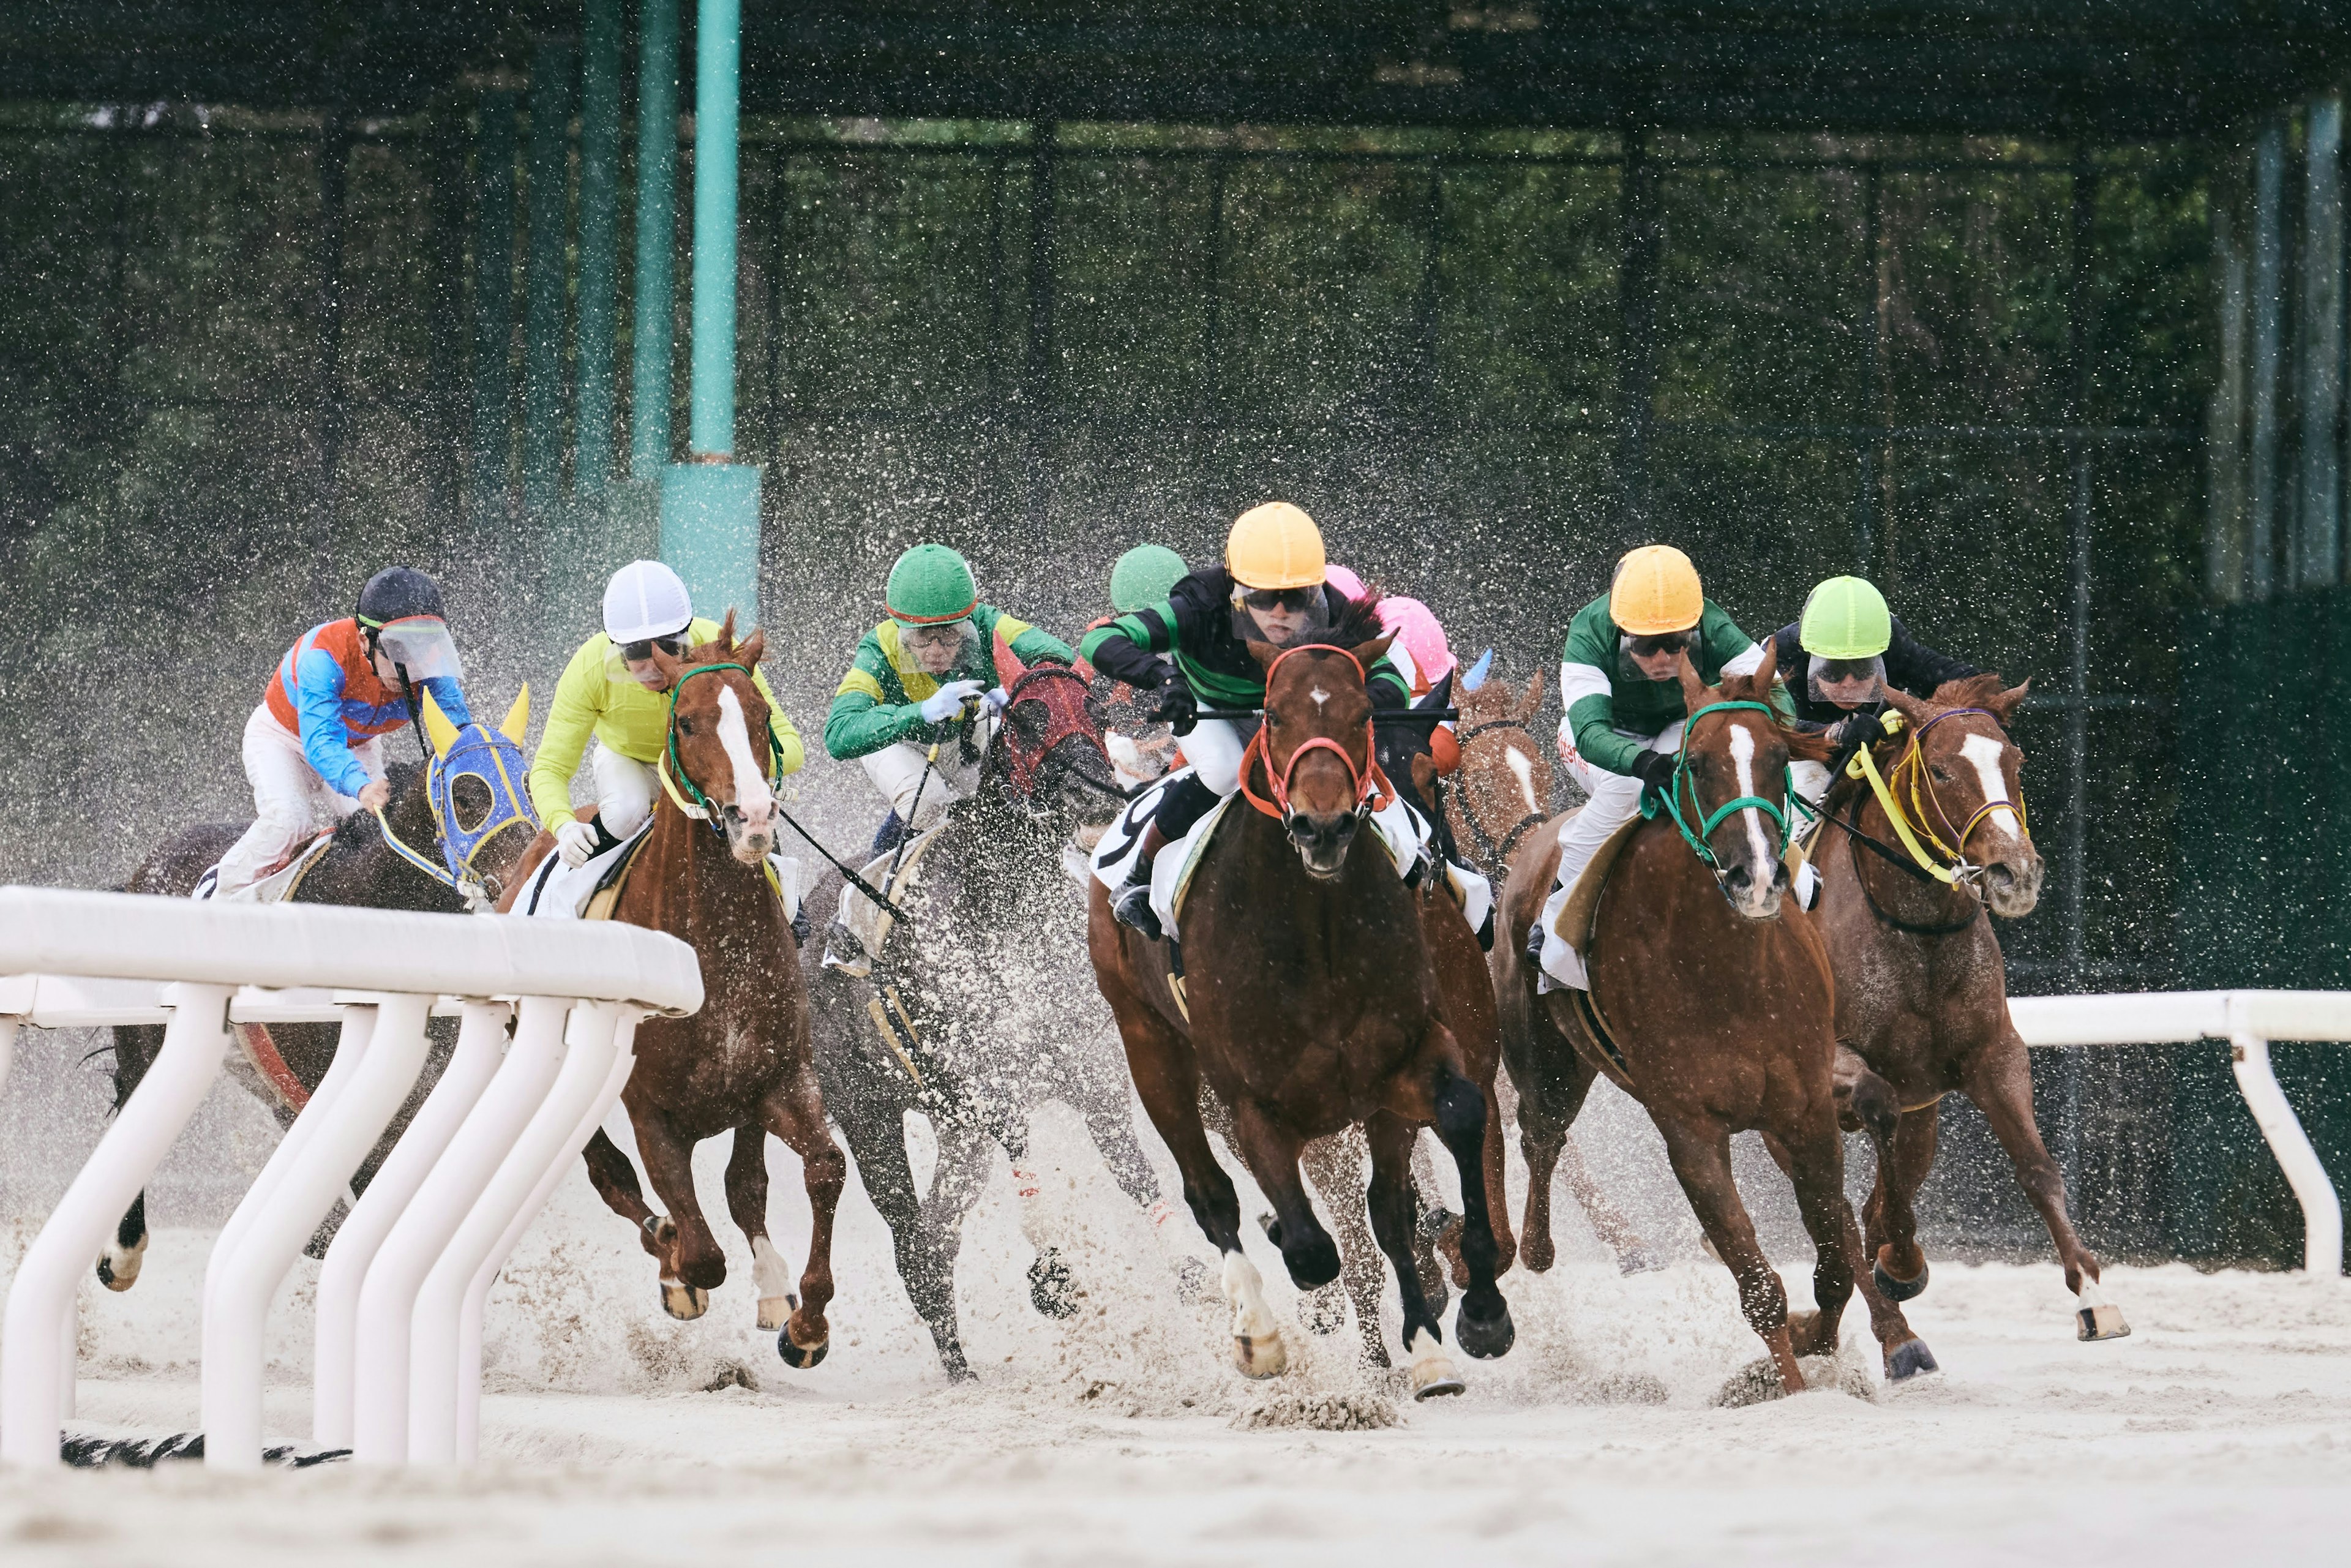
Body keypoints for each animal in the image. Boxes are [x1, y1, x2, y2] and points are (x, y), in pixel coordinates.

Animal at [503, 620, 846, 1363]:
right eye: (685, 721)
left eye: (763, 714)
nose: (754, 817)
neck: (710, 948)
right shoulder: (651, 1111)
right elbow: (700, 1250)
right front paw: (677, 1266)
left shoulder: (776, 1078)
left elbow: (816, 1169)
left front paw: (805, 1321)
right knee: (611, 1175)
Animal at [1090, 611, 1513, 1401]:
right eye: (1277, 714)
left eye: (1361, 715)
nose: (1324, 826)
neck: (1314, 930)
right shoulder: (1254, 1100)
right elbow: (1315, 1248)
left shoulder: (1404, 1059)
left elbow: (1453, 1129)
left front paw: (1476, 1316)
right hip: (1152, 1047)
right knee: (1211, 1194)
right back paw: (1258, 1330)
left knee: (1382, 1206)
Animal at [1504, 648, 1909, 1401]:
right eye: (1694, 763)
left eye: (1779, 755)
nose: (1757, 876)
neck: (1730, 972)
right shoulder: (1689, 1130)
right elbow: (1758, 1282)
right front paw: (1787, 1384)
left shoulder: (1807, 1108)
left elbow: (1834, 1256)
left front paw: (1820, 1339)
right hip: (1547, 1063)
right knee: (1540, 1136)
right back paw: (1535, 1250)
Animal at [1805, 677, 2125, 1363]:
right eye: (1943, 770)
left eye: (2016, 760)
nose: (2015, 872)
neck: (1914, 927)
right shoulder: (1831, 1069)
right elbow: (1878, 1166)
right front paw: (1900, 1270)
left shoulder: (1992, 1052)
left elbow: (2037, 1166)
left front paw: (2093, 1295)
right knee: (1838, 1212)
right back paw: (1894, 1336)